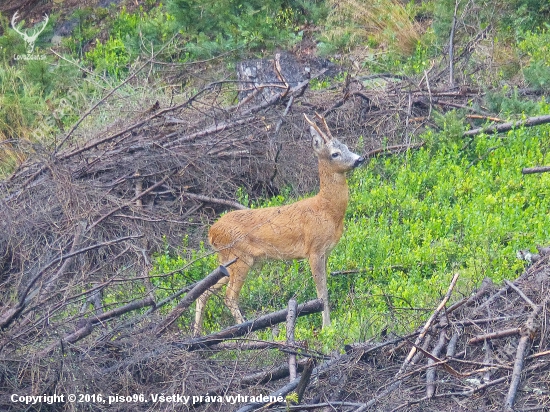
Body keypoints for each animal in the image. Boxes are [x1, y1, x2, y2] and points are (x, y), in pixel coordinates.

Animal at [194, 112, 366, 334]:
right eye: (335, 153)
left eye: (346, 146)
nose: (359, 159)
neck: (326, 210)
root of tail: (211, 232)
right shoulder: (314, 249)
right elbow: (322, 292)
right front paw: (326, 328)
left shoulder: (326, 252)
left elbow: (325, 288)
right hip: (239, 258)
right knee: (229, 297)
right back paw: (246, 331)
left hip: (227, 261)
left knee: (203, 291)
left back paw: (197, 333)